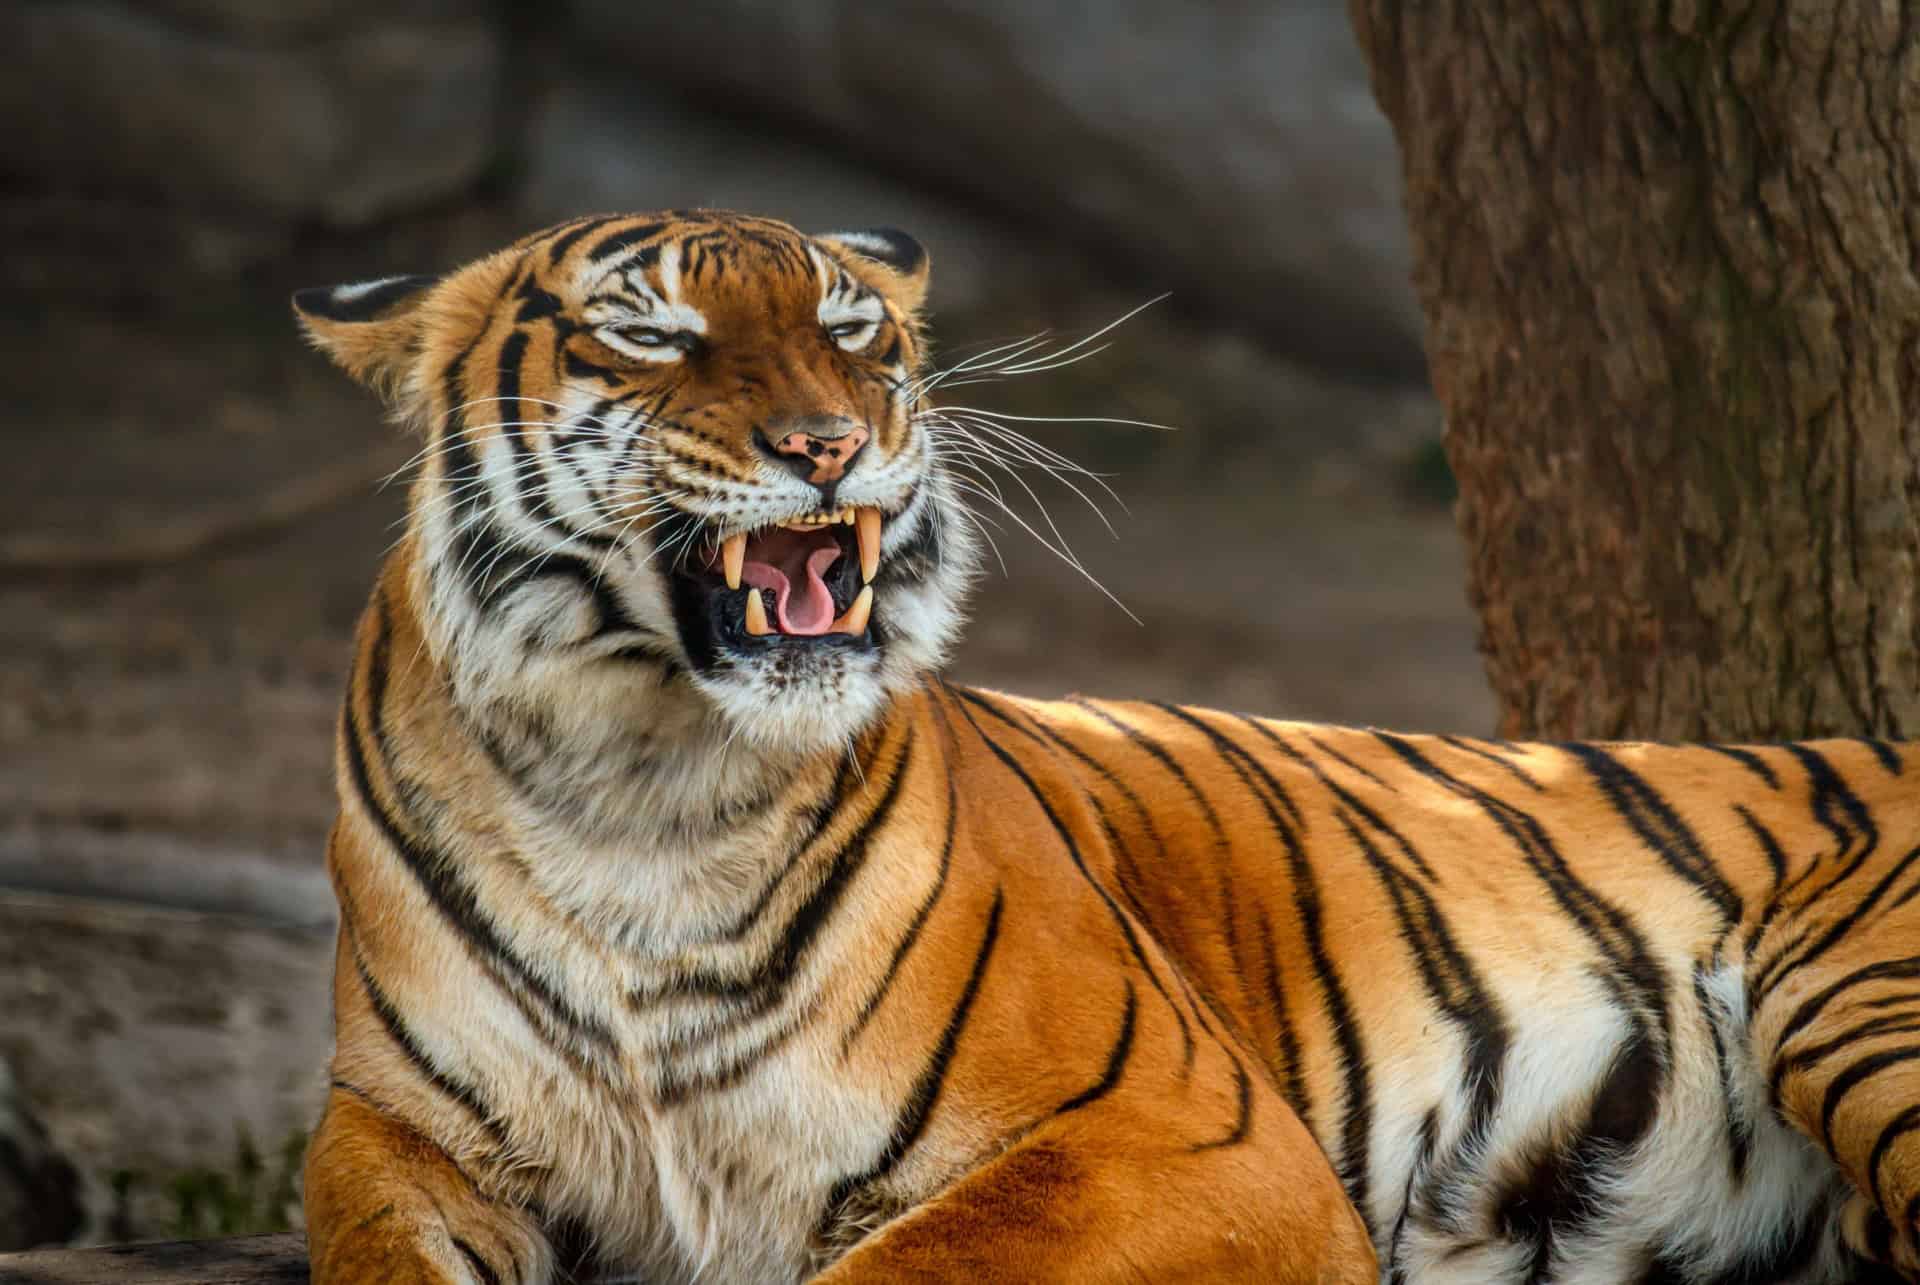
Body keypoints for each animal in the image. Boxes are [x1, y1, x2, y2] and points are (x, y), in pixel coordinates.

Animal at [293, 209, 1920, 1285]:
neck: (641, 789)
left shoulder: (1184, 1136)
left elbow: (899, 1265)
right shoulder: (393, 1125)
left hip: (1850, 1002)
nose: (829, 442)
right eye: (650, 333)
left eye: (851, 328)